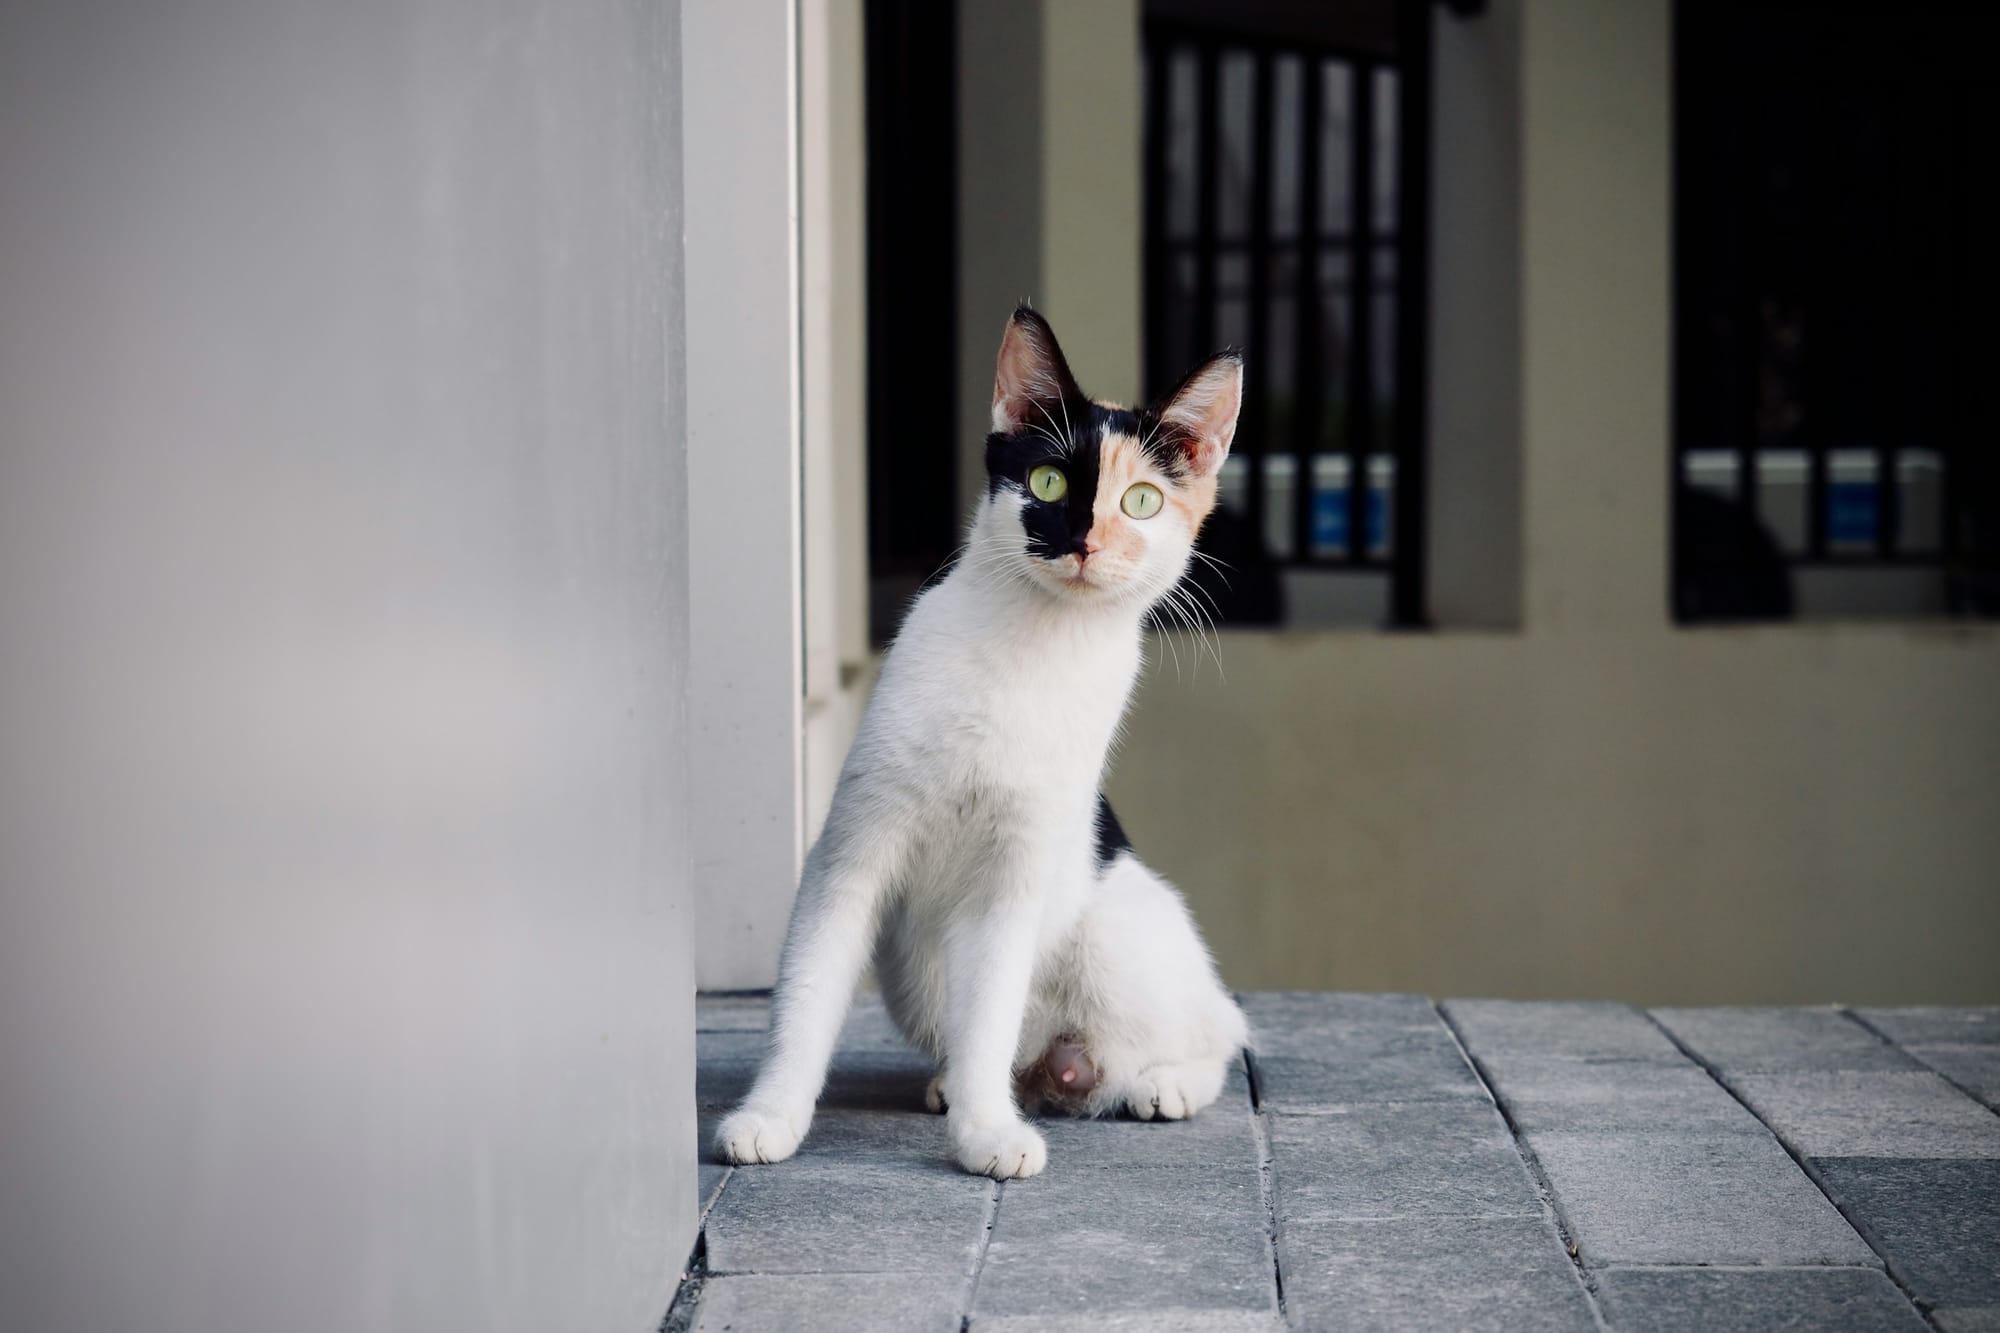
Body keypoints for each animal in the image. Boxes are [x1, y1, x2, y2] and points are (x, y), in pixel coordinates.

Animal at [716, 304, 1248, 1176]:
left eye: (1140, 500)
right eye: (1048, 483)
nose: (1084, 541)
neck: (1034, 647)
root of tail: (1060, 1064)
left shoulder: (1011, 882)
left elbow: (991, 1007)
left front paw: (987, 1133)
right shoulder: (851, 853)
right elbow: (808, 995)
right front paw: (771, 1114)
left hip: (1120, 935)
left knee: (1218, 1028)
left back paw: (1160, 1083)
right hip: (918, 972)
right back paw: (960, 1086)